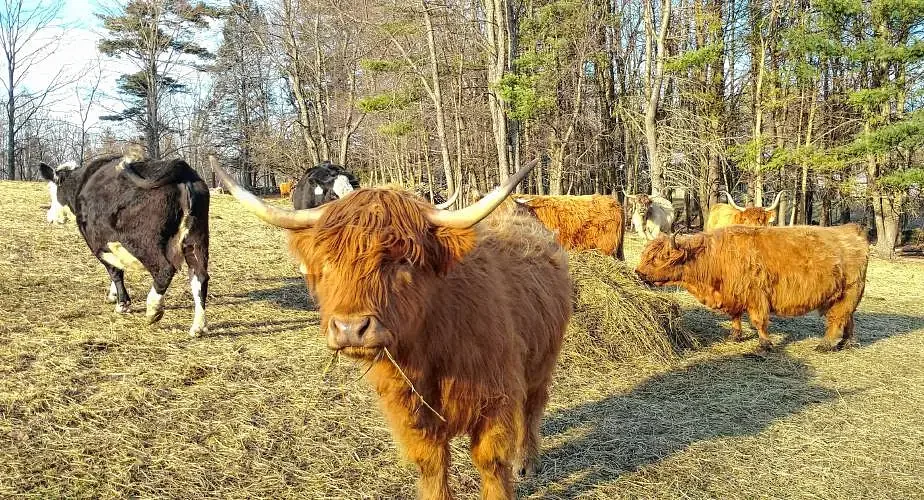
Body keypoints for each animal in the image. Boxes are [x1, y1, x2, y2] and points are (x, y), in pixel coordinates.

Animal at [39, 152, 210, 336]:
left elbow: (115, 271)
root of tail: (181, 169)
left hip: (143, 243)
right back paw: (198, 326)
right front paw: (113, 295)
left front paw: (122, 304)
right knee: (200, 277)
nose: (50, 218)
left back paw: (153, 310)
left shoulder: (99, 243)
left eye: (52, 191)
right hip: (196, 241)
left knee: (164, 270)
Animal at [211, 156, 571, 499]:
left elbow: (491, 463)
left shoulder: (496, 399)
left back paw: (526, 463)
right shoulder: (407, 409)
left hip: (543, 360)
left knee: (533, 406)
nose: (351, 328)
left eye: (402, 260)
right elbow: (431, 464)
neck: (431, 348)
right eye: (328, 261)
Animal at [635, 224, 869, 352]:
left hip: (847, 293)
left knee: (837, 319)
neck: (713, 257)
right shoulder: (733, 295)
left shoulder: (756, 296)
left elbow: (758, 321)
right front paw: (735, 335)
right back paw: (848, 343)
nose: (638, 272)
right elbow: (735, 316)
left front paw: (764, 344)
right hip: (844, 296)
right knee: (849, 319)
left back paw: (825, 345)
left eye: (658, 258)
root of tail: (850, 230)